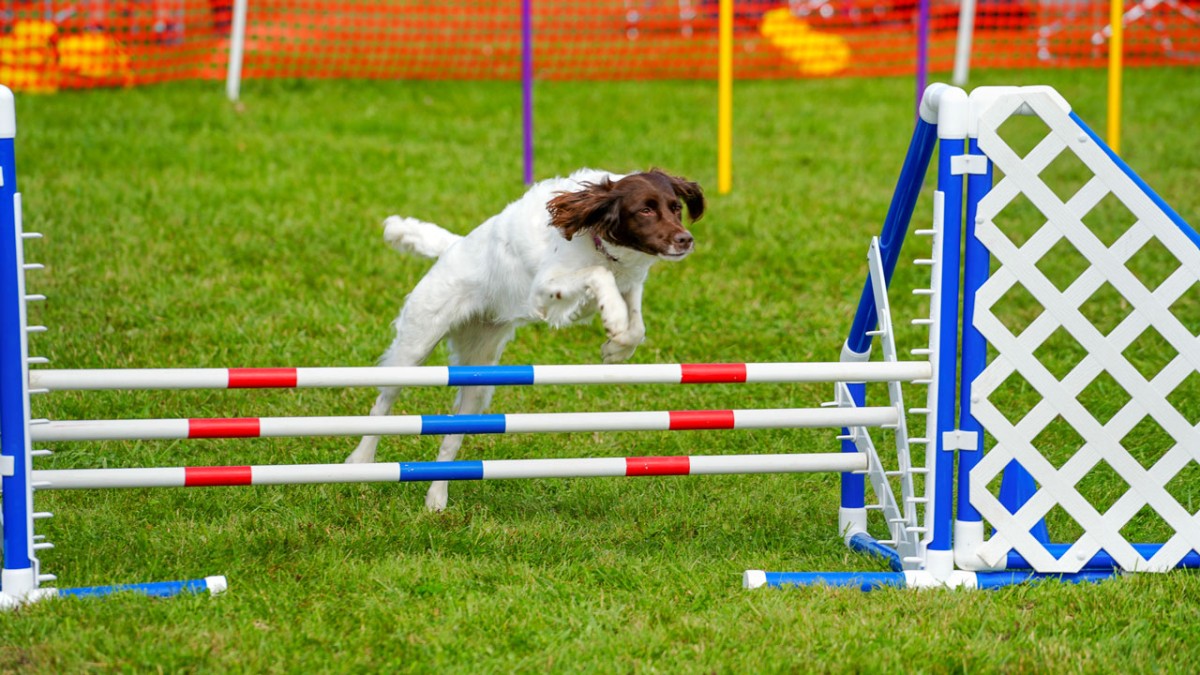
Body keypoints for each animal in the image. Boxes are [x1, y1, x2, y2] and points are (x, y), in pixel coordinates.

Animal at [345, 168, 700, 509]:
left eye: (676, 208)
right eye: (645, 210)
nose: (686, 240)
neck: (600, 240)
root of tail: (452, 247)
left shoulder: (630, 281)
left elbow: (636, 324)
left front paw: (616, 348)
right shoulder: (545, 289)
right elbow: (598, 277)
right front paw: (613, 315)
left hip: (479, 380)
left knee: (451, 439)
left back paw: (436, 498)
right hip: (416, 346)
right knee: (382, 405)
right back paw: (361, 461)